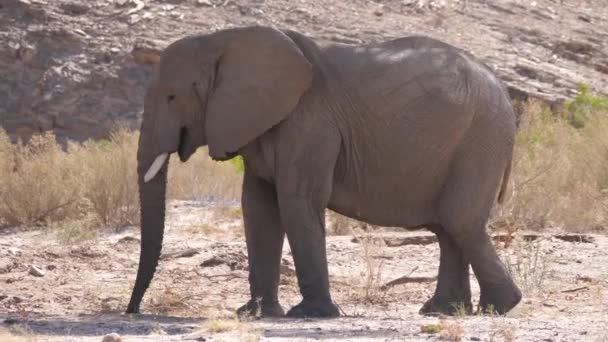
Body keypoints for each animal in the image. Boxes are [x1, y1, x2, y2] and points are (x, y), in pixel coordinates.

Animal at [124, 25, 524, 320]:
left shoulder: (310, 122)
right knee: (446, 227)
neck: (223, 40)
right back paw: (444, 311)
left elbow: (296, 200)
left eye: (172, 97)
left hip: (480, 138)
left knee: (459, 221)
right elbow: (258, 207)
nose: (133, 311)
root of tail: (502, 90)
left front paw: (309, 314)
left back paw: (498, 307)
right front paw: (254, 314)